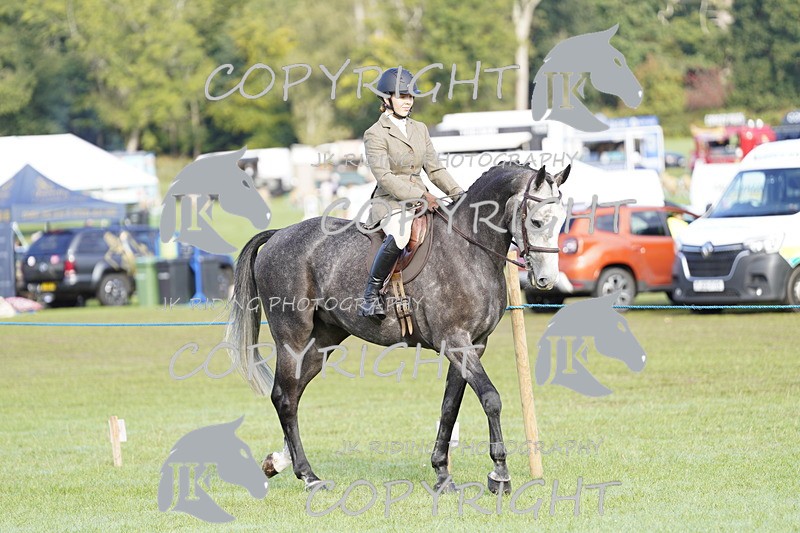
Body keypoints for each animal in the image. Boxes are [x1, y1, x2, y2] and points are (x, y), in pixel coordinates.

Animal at [225, 162, 570, 494]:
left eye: (562, 221)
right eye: (536, 222)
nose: (546, 280)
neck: (469, 250)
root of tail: (279, 233)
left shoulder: (473, 345)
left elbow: (449, 407)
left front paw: (442, 474)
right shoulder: (456, 341)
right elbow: (491, 399)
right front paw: (499, 474)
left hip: (323, 340)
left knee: (293, 393)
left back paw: (279, 462)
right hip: (292, 337)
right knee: (284, 397)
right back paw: (308, 476)